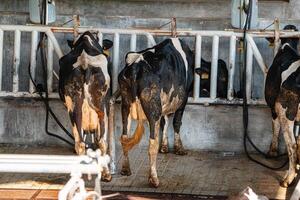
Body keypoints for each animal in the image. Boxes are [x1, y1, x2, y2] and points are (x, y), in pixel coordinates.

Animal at [59, 30, 113, 181]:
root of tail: (84, 62)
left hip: (75, 108)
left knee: (82, 142)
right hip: (101, 106)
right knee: (100, 141)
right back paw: (105, 173)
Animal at [118, 38, 193, 188]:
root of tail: (135, 67)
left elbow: (165, 122)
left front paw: (164, 146)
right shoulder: (183, 98)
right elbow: (176, 122)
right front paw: (179, 148)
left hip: (125, 105)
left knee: (124, 137)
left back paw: (125, 169)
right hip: (153, 109)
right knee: (152, 143)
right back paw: (154, 179)